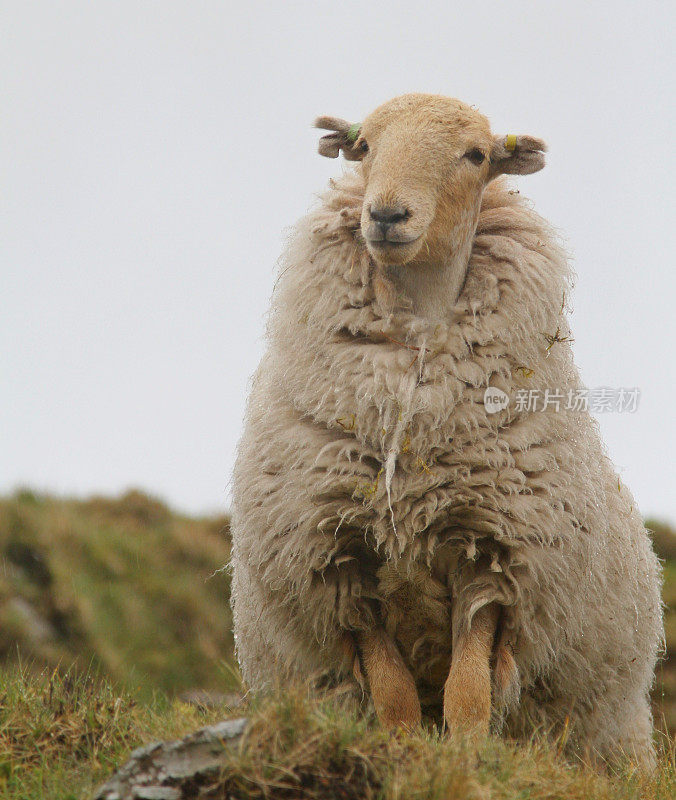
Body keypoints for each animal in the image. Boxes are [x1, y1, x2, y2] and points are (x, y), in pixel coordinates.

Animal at [230, 94, 664, 768]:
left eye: (476, 155)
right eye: (364, 145)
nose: (385, 214)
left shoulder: (494, 555)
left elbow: (468, 693)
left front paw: (464, 759)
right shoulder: (339, 565)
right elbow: (393, 696)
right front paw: (404, 752)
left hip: (609, 733)